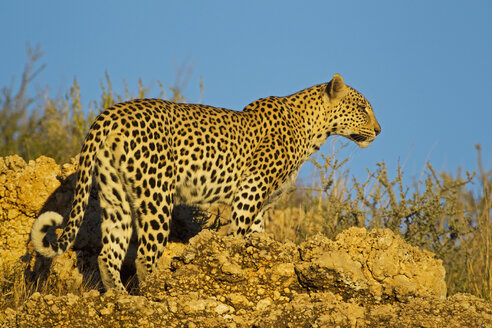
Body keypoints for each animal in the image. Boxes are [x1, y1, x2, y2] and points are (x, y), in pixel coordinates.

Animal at [31, 73, 380, 292]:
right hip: (157, 196)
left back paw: (122, 299)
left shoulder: (261, 204)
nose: (379, 130)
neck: (313, 130)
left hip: (115, 197)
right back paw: (155, 294)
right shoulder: (250, 189)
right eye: (363, 107)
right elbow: (237, 234)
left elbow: (256, 235)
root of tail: (111, 112)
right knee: (145, 255)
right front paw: (235, 260)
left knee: (108, 256)